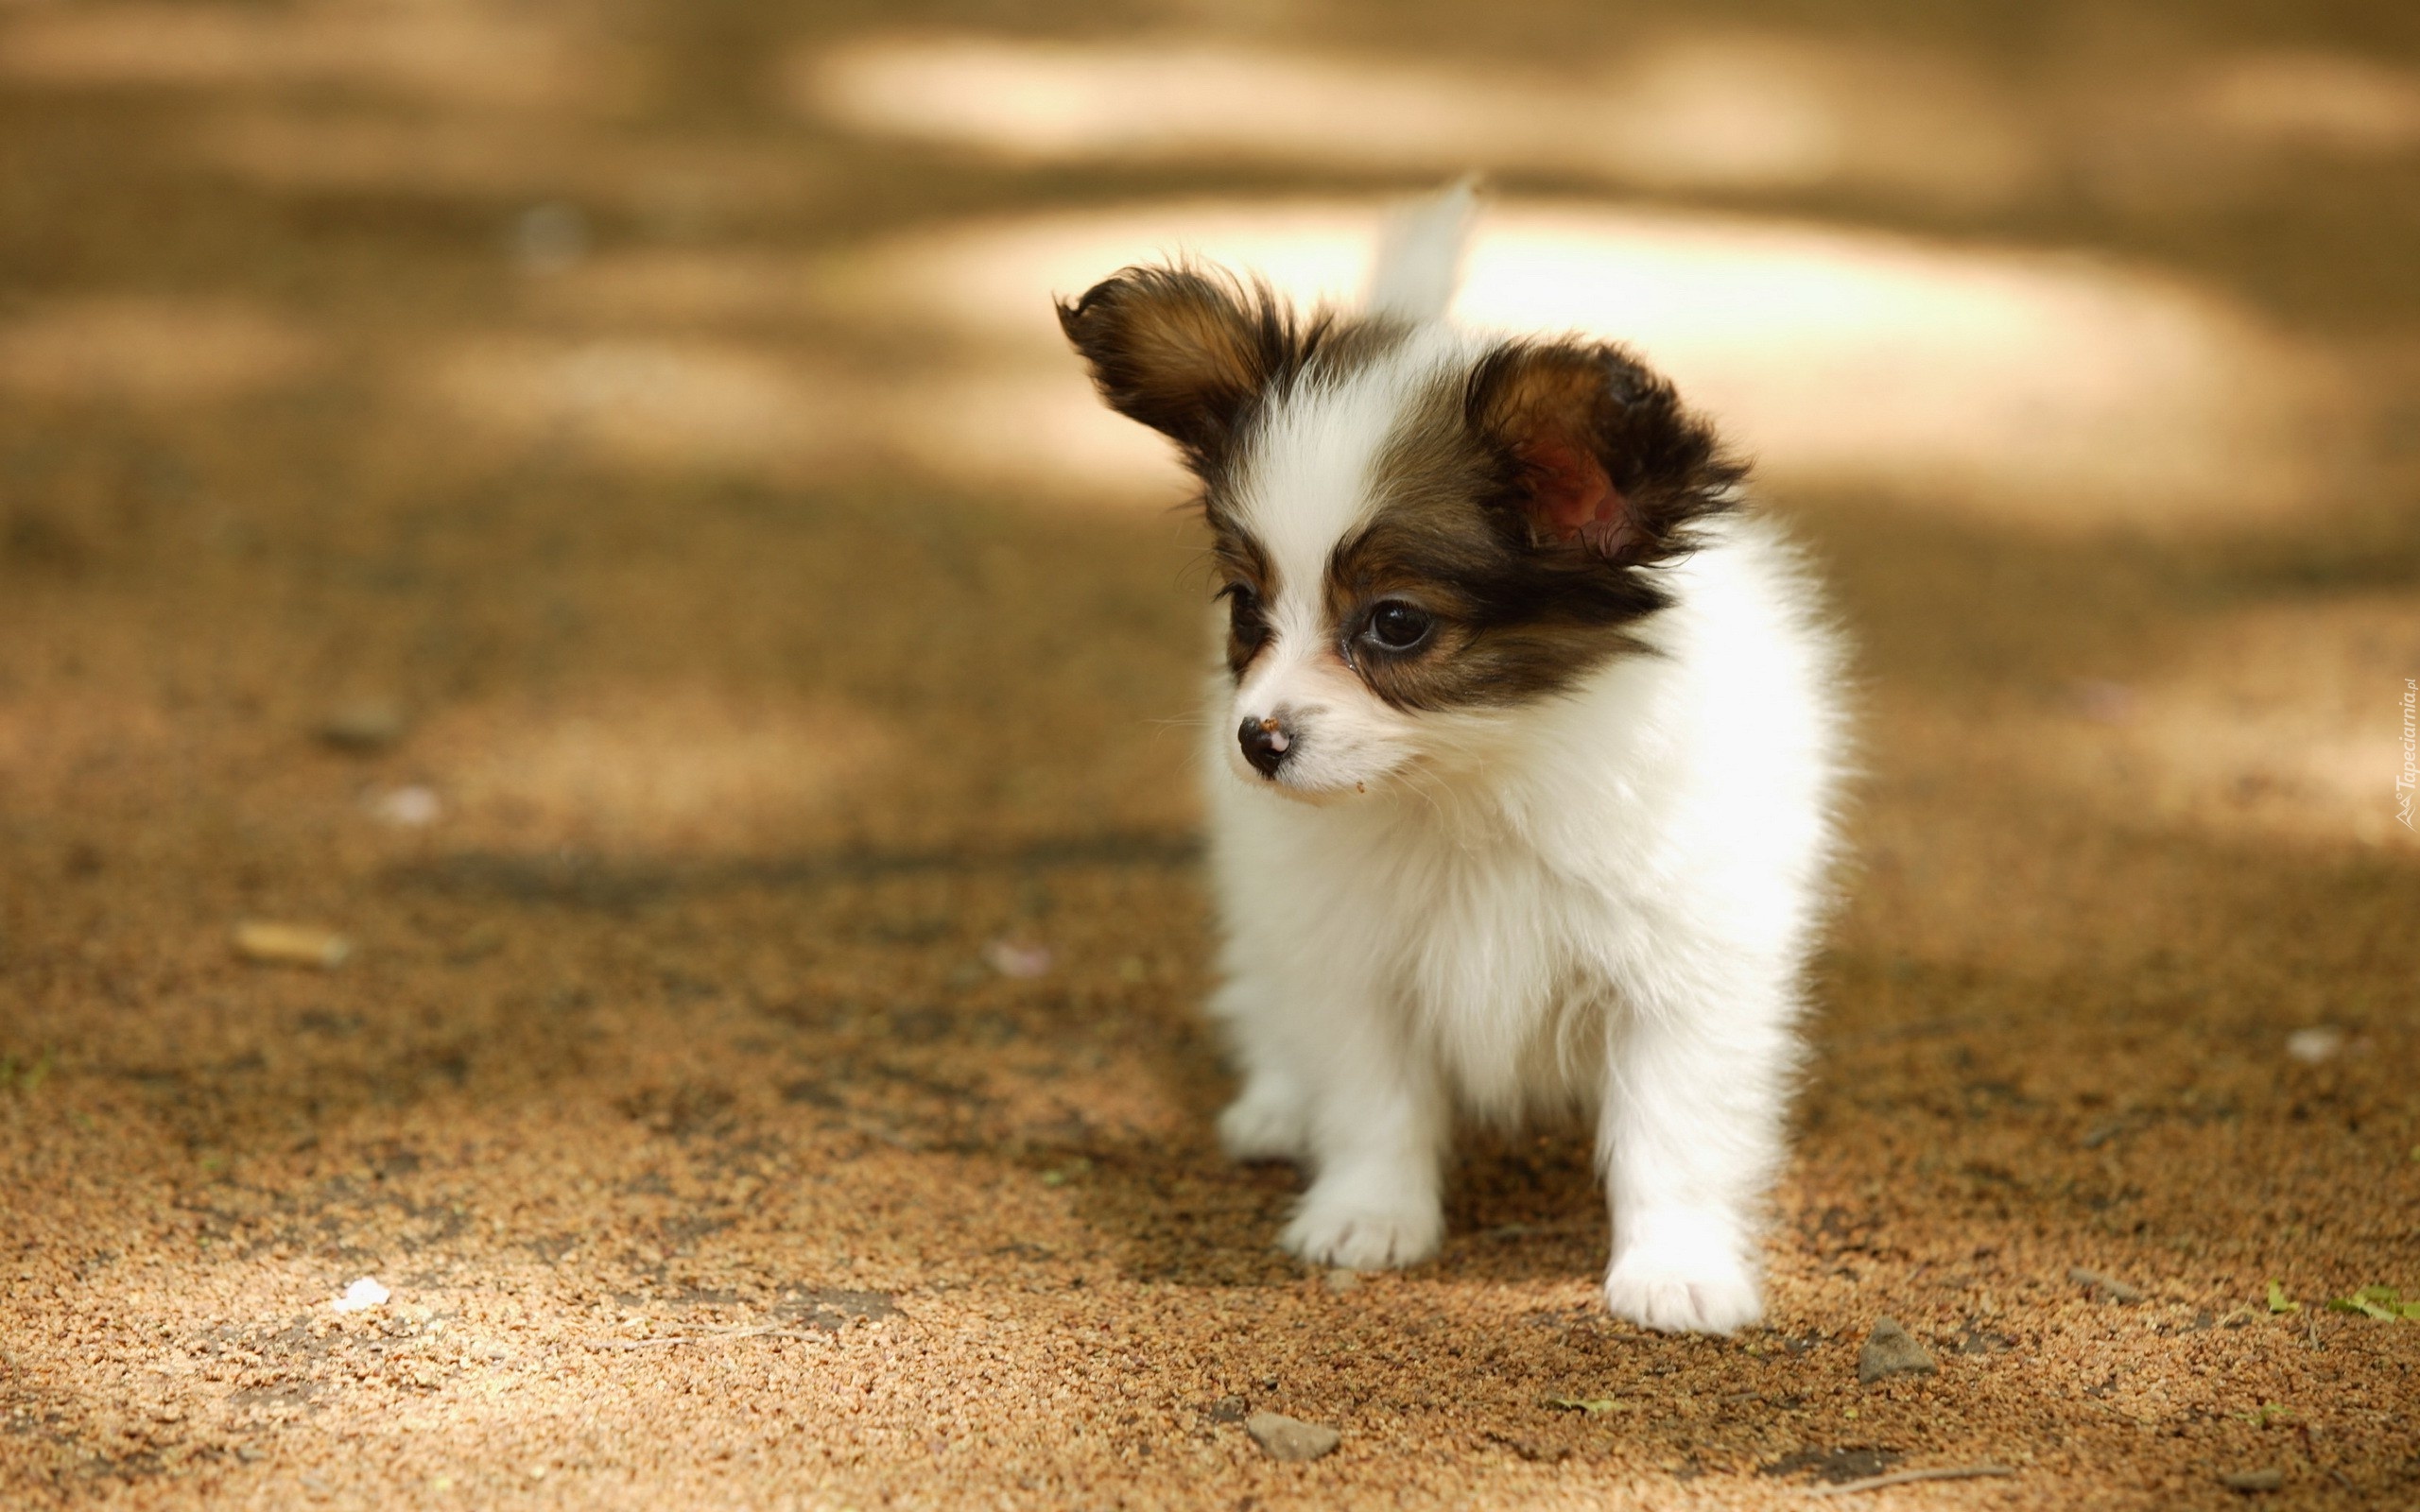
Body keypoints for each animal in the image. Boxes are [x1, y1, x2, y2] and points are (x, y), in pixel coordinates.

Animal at [1050, 186, 1839, 1335]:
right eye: (1245, 606)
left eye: (1395, 623)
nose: (1257, 739)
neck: (1475, 783)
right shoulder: (1352, 955)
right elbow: (1372, 1097)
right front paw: (1367, 1216)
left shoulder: (1689, 969)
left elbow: (1675, 1131)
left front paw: (1677, 1267)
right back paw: (1276, 1104)